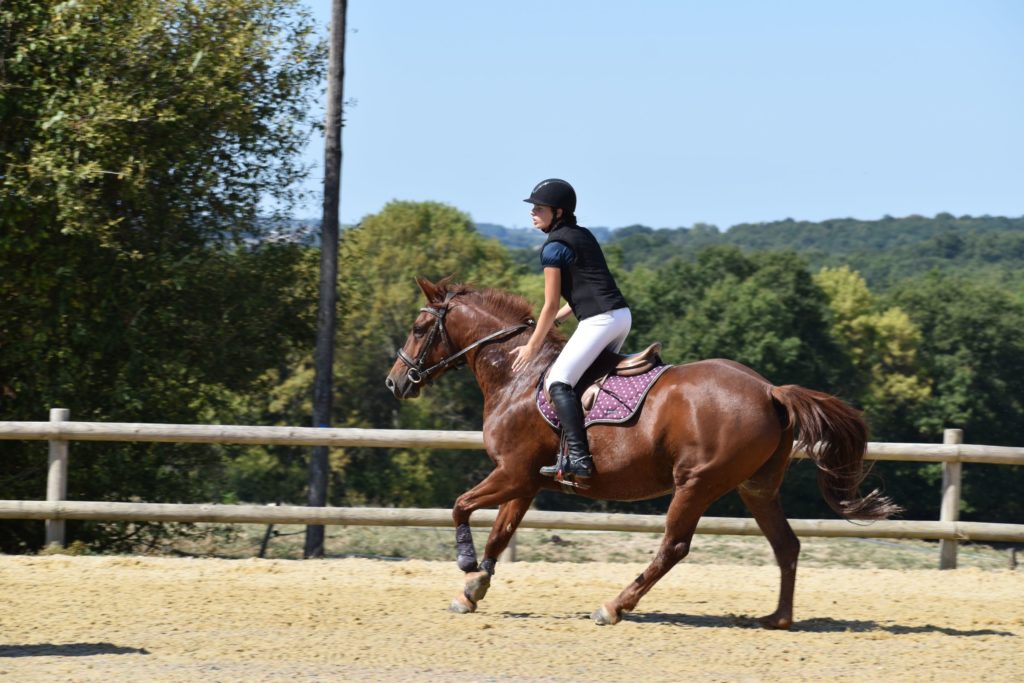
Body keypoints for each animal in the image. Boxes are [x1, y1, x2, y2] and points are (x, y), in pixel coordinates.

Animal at [385, 274, 897, 626]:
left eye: (419, 326)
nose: (395, 383)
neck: (517, 374)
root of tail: (770, 390)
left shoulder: (511, 473)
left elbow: (461, 506)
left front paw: (466, 565)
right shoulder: (525, 480)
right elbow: (500, 532)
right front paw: (473, 588)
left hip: (696, 483)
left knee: (673, 547)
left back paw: (613, 606)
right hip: (757, 489)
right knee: (786, 544)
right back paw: (779, 618)